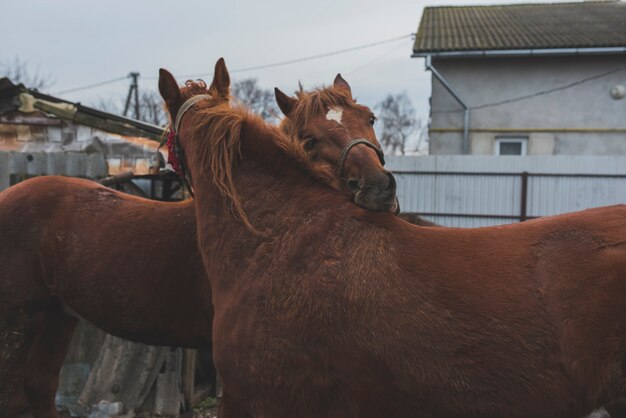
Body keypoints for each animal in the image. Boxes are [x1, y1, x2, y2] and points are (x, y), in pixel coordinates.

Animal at [0, 68, 394, 414]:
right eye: (309, 139)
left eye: (370, 118)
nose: (378, 187)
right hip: (20, 320)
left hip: (56, 315)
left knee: (40, 389)